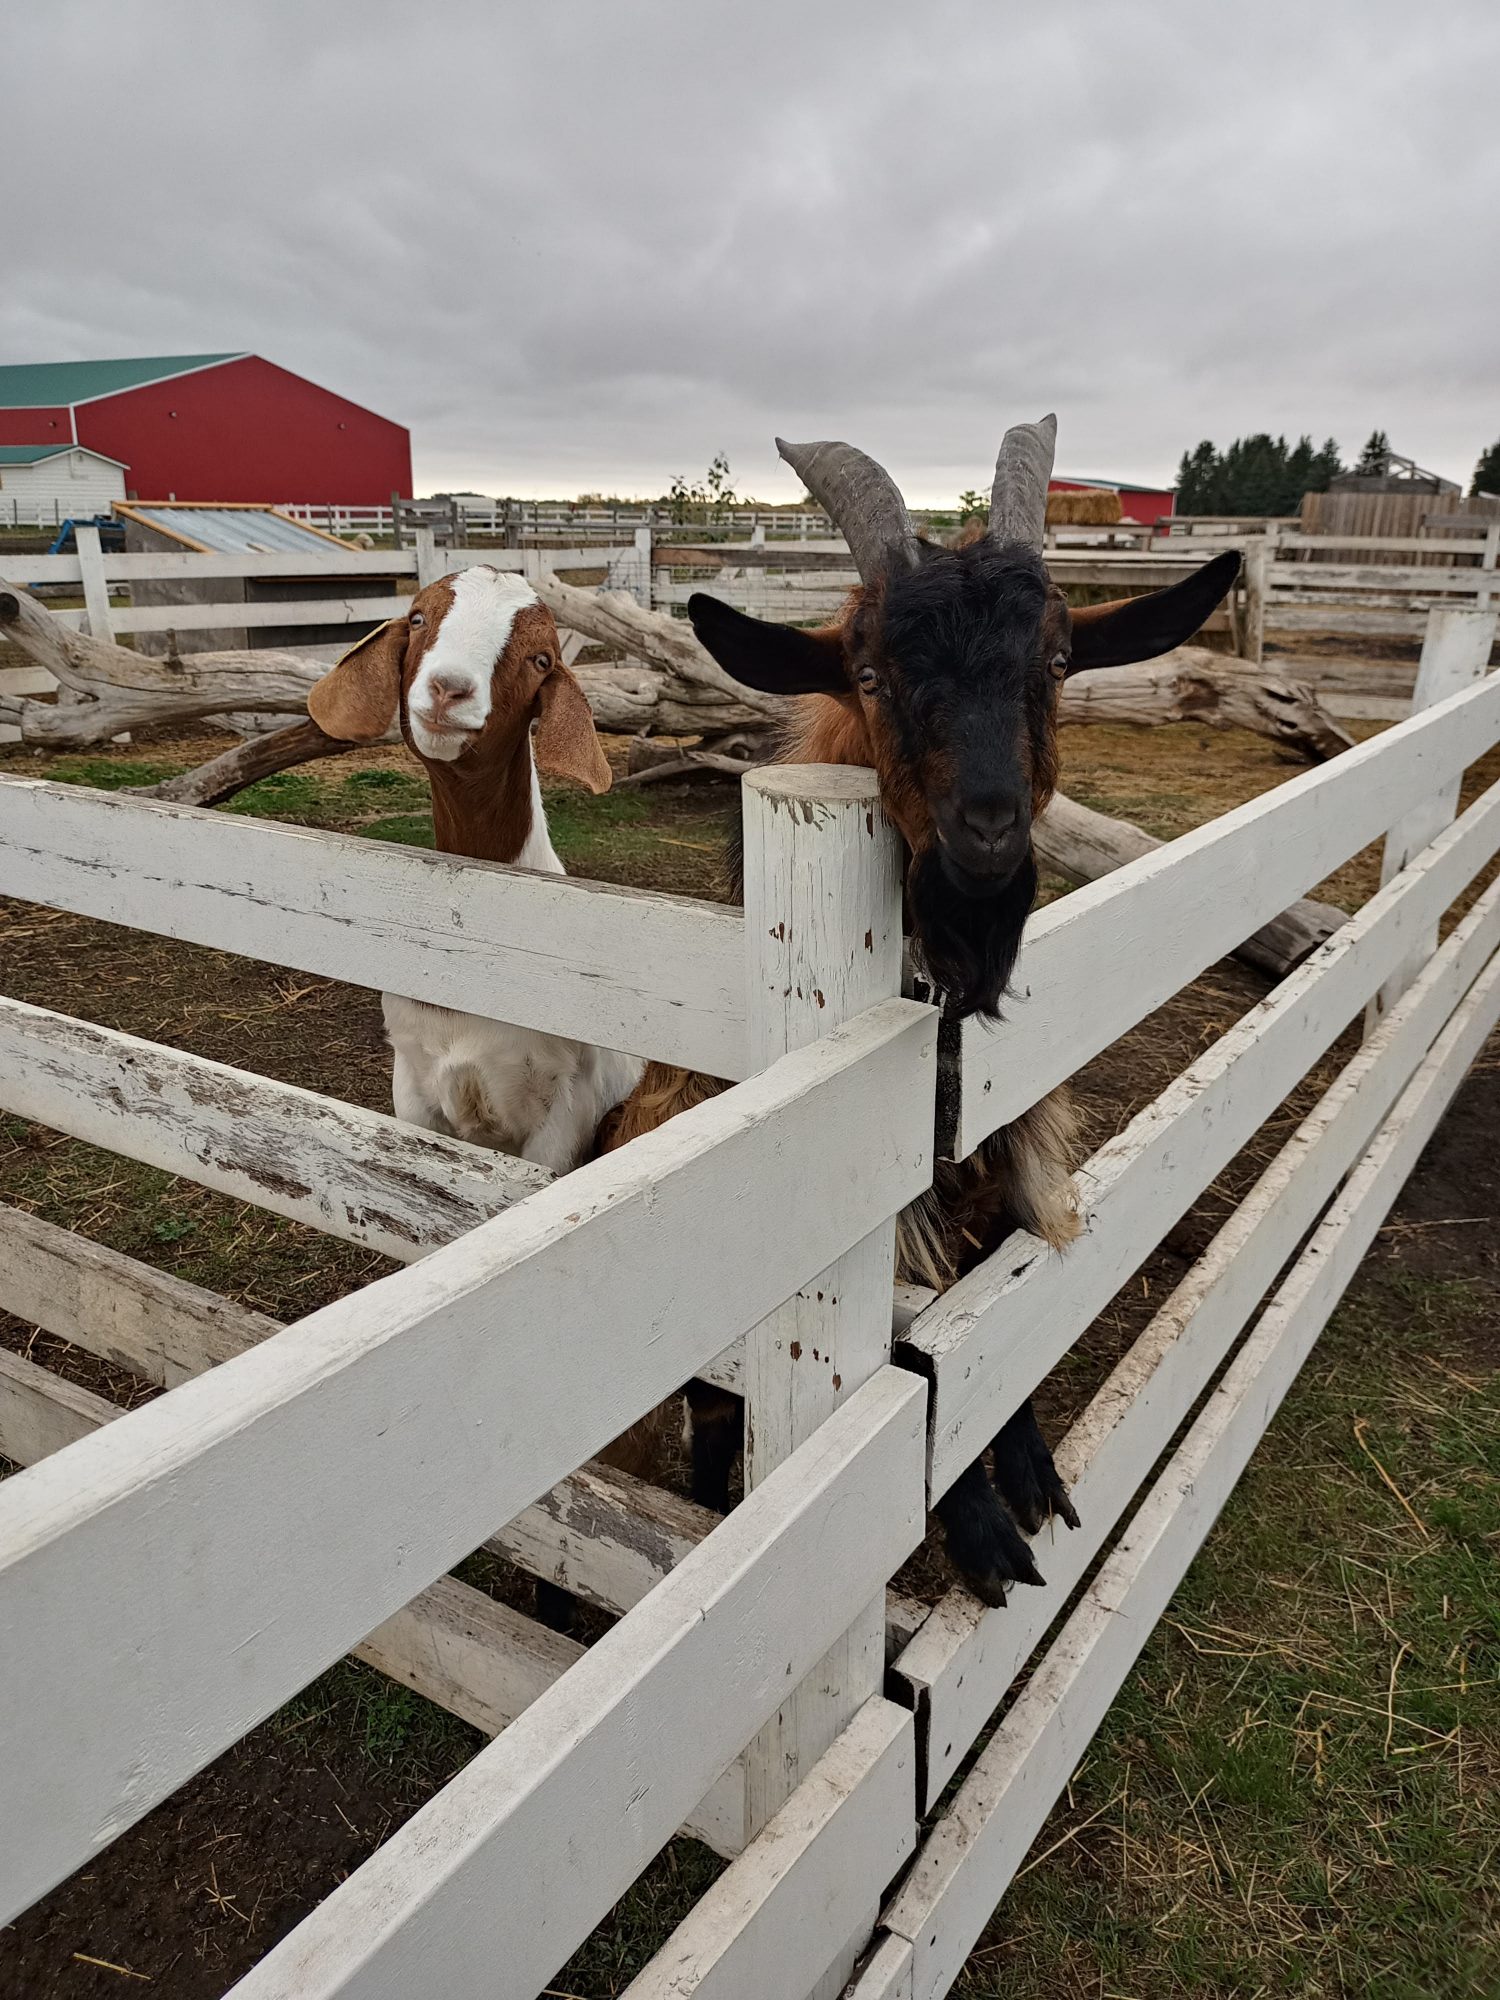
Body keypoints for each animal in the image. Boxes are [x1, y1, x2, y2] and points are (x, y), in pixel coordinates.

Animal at [600, 422, 1248, 1608]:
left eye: (1055, 662)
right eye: (870, 674)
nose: (983, 839)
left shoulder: (998, 1198)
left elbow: (994, 1334)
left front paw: (1029, 1473)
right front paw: (984, 1531)